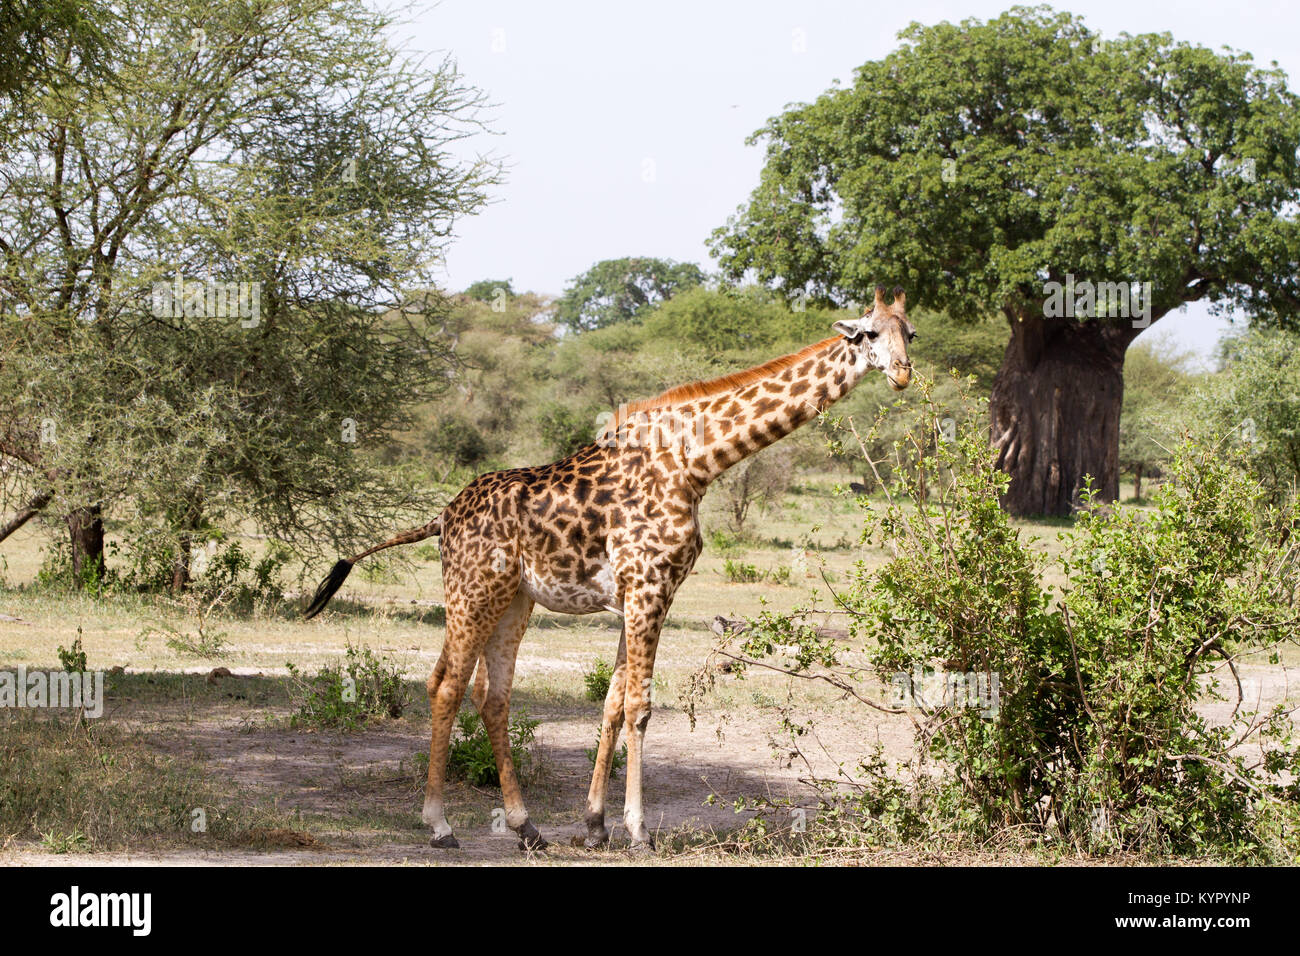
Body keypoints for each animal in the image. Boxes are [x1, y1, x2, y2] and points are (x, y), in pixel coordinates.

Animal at [302, 283, 915, 853]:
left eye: (911, 332)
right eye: (868, 333)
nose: (904, 374)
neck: (696, 462)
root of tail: (443, 516)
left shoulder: (640, 595)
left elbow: (614, 703)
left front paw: (596, 825)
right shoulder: (648, 588)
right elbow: (641, 706)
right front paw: (639, 831)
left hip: (514, 600)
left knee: (492, 697)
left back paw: (527, 828)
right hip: (472, 592)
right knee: (445, 686)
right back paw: (440, 826)